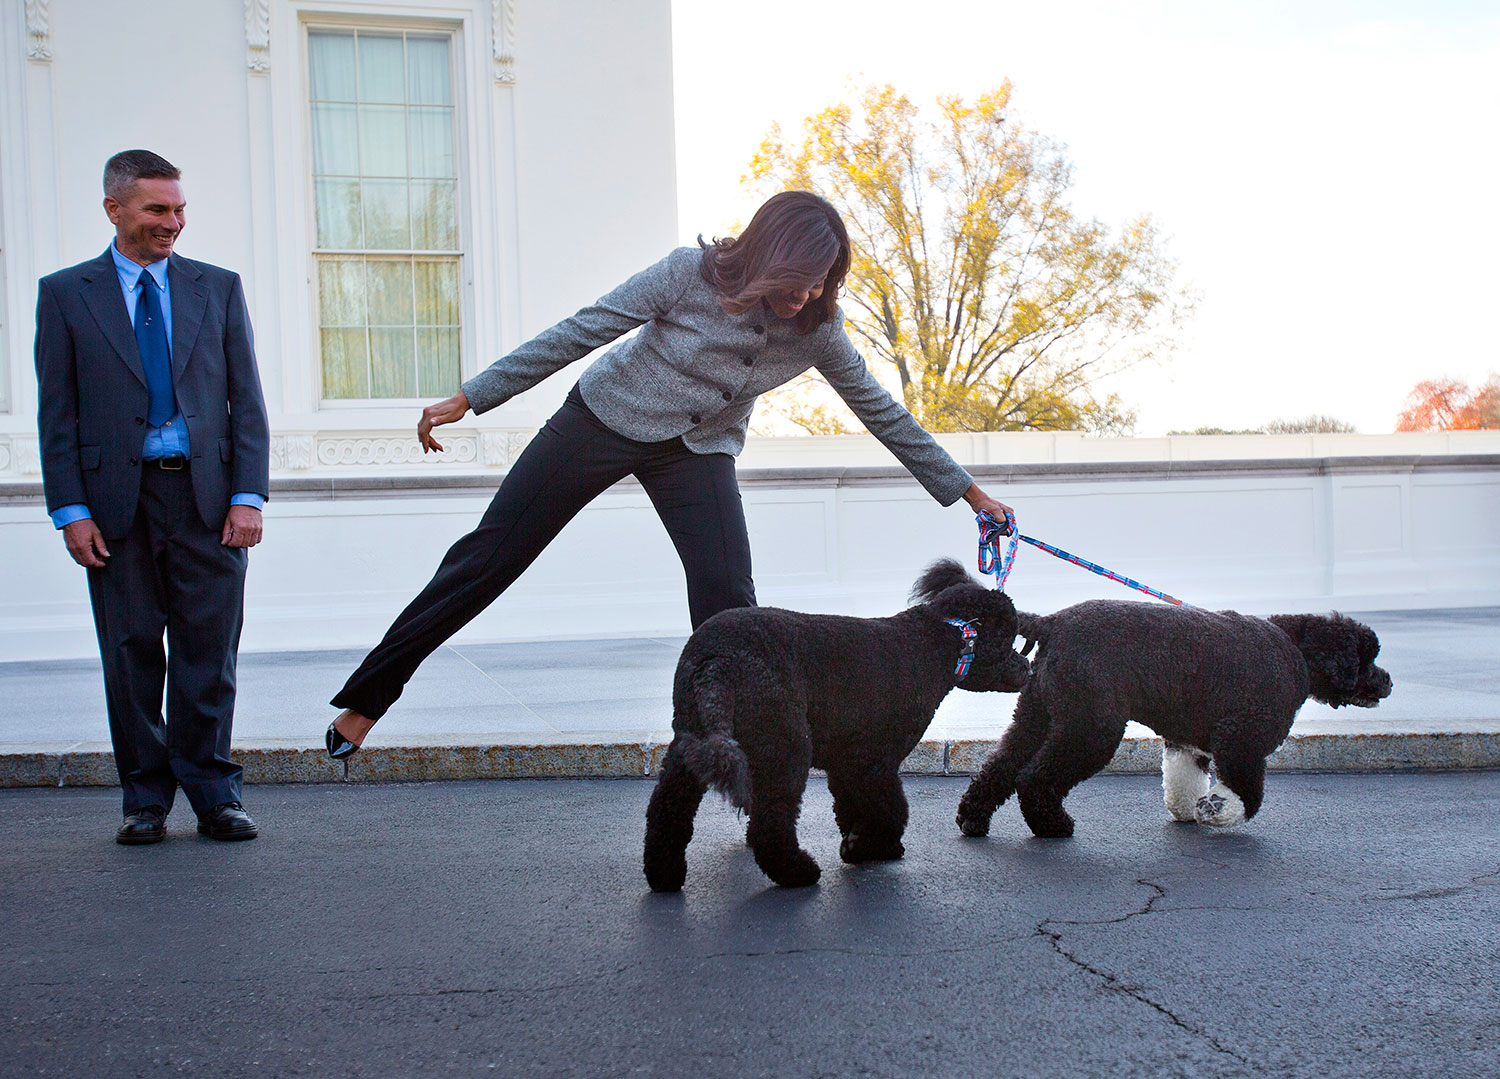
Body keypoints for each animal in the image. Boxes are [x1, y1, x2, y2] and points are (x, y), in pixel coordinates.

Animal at [645, 561, 1032, 888]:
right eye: (1008, 638)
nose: (1027, 667)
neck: (934, 642)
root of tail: (717, 660)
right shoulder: (874, 760)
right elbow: (890, 809)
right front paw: (873, 846)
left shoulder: (847, 760)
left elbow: (851, 805)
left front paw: (861, 844)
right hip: (785, 746)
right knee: (770, 821)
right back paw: (797, 871)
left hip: (689, 743)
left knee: (667, 809)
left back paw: (664, 875)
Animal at [954, 603, 1386, 840]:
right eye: (1367, 658)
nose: (1388, 681)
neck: (1295, 648)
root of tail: (1053, 622)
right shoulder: (1242, 737)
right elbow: (1247, 793)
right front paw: (1218, 810)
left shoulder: (1187, 741)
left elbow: (1183, 781)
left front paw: (1190, 809)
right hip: (1091, 726)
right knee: (1032, 777)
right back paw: (1052, 826)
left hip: (1037, 716)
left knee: (1000, 767)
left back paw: (972, 819)